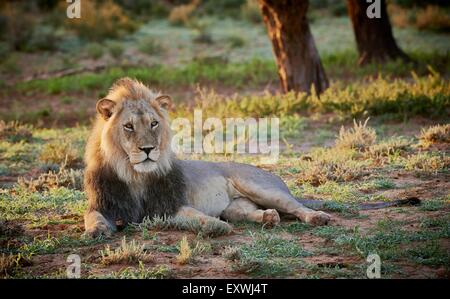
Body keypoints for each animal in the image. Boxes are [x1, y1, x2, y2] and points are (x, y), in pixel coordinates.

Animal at [84, 78, 418, 238]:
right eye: (128, 126)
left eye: (154, 123)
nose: (148, 150)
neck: (134, 174)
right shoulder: (104, 204)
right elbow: (91, 217)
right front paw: (97, 231)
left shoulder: (170, 204)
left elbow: (194, 217)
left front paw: (215, 227)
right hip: (237, 206)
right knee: (253, 213)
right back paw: (268, 219)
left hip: (261, 187)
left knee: (297, 207)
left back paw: (316, 217)